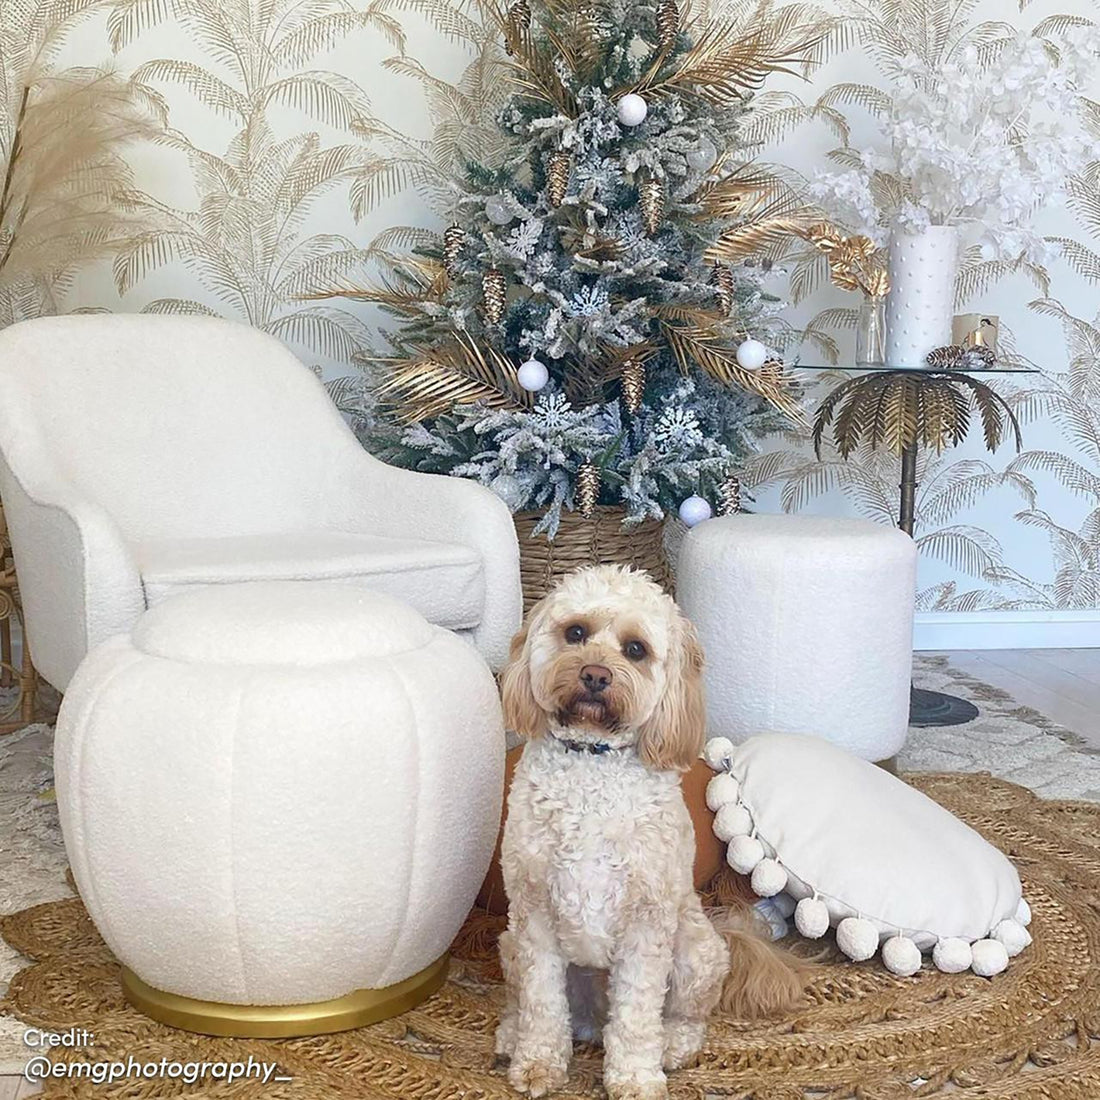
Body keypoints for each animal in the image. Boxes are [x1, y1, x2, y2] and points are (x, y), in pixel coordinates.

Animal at [496, 564, 805, 1100]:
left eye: (635, 649)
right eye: (575, 633)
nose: (595, 675)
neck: (593, 762)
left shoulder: (646, 923)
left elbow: (637, 1015)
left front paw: (636, 1078)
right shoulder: (534, 915)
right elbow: (541, 1001)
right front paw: (537, 1063)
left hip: (696, 952)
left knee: (686, 1015)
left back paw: (673, 1044)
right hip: (510, 944)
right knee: (529, 1000)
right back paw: (512, 1034)